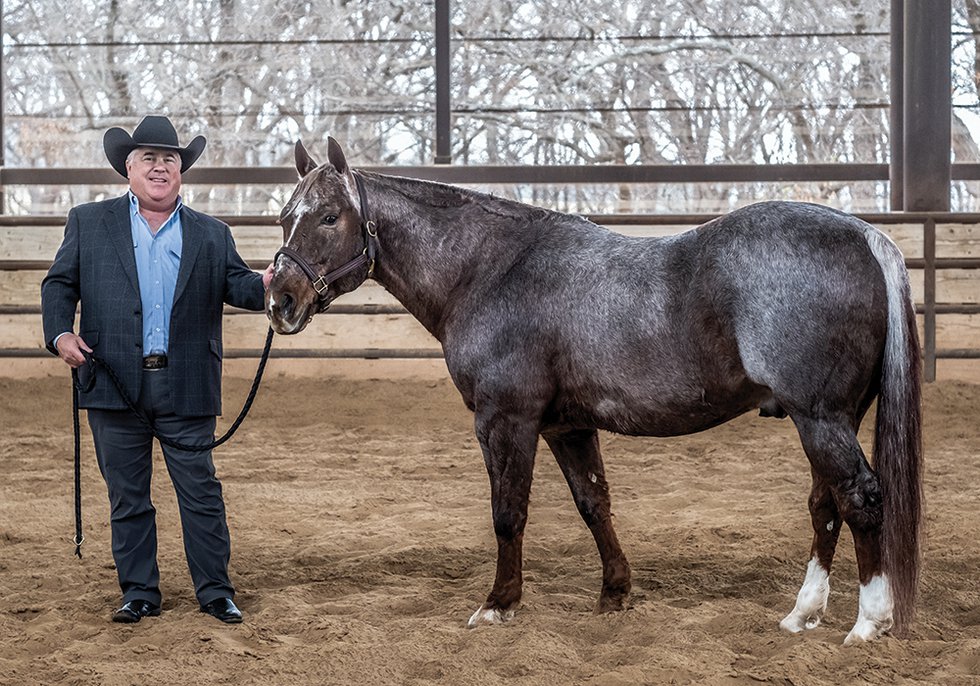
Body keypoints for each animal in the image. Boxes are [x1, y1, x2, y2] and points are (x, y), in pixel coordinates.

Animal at [264, 137, 924, 648]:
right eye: (284, 216)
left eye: (329, 217)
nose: (280, 301)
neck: (489, 269)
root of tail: (865, 236)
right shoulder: (567, 426)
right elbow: (593, 504)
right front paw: (615, 594)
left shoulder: (505, 420)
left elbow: (508, 512)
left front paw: (499, 604)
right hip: (827, 419)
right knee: (825, 504)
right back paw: (802, 614)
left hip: (820, 417)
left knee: (861, 498)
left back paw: (869, 623)